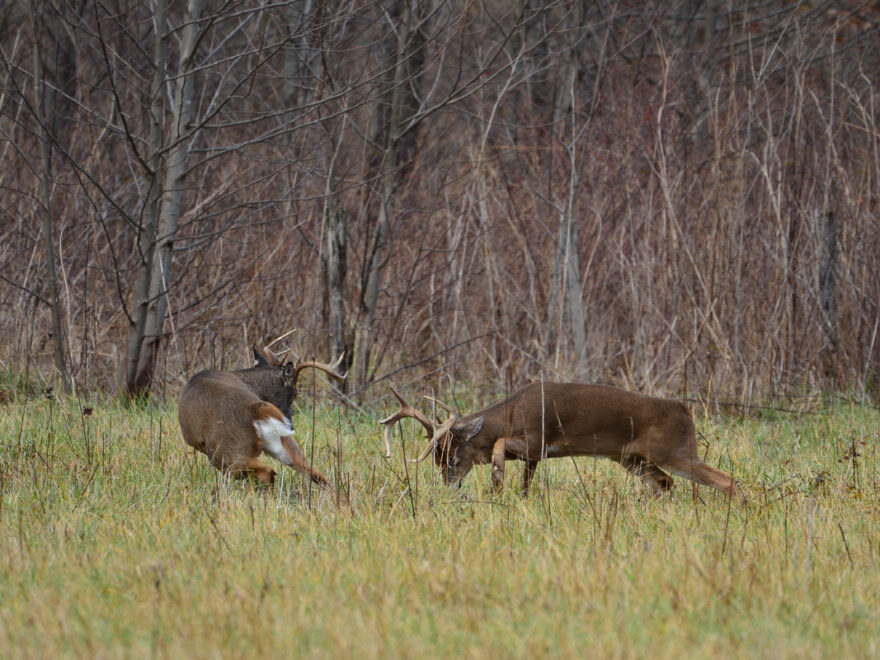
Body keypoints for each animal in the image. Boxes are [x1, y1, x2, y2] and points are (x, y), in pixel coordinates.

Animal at [177, 342, 346, 488]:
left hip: (226, 452)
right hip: (282, 443)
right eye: (294, 393)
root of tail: (255, 410)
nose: (290, 424)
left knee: (266, 471)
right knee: (315, 473)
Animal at [382, 382, 740, 500]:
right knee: (665, 483)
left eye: (453, 457)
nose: (448, 485)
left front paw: (497, 479)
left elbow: (500, 446)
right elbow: (526, 485)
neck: (509, 415)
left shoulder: (538, 440)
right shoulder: (534, 458)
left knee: (727, 480)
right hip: (631, 459)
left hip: (675, 451)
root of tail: (685, 410)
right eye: (436, 459)